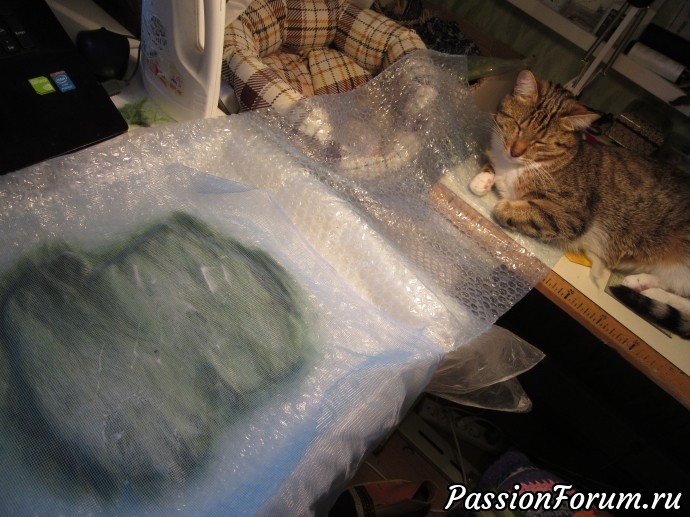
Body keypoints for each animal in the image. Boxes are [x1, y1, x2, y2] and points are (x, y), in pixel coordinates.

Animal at [469, 70, 690, 339]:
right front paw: (482, 179)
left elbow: (516, 209)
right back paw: (641, 284)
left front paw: (503, 204)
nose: (515, 151)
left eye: (540, 142)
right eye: (518, 126)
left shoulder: (570, 217)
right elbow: (489, 170)